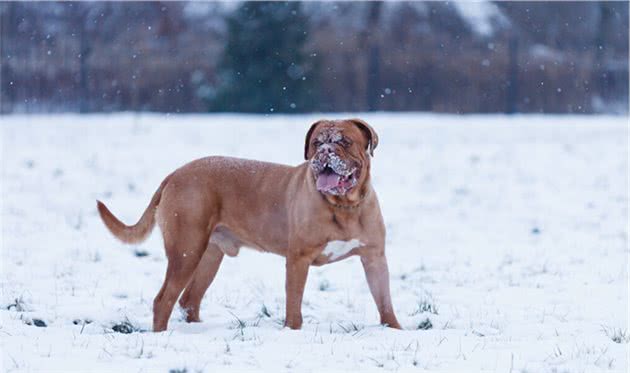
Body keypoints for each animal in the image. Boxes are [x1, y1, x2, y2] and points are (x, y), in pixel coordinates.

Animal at [97, 117, 404, 330]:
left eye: (344, 141)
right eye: (317, 142)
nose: (325, 152)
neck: (344, 206)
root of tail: (174, 174)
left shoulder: (374, 257)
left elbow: (384, 300)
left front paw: (394, 330)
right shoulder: (298, 259)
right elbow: (294, 304)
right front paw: (292, 331)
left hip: (209, 255)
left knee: (189, 300)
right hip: (186, 251)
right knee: (164, 300)